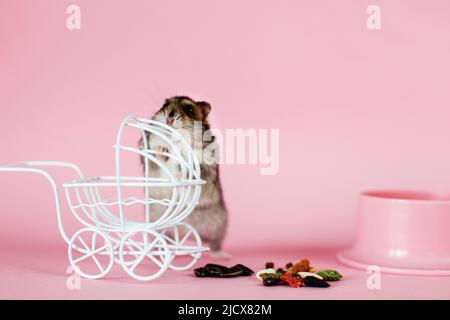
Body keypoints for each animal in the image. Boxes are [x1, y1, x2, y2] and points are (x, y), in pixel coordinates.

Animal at [141, 95, 229, 258]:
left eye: (189, 109)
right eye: (165, 105)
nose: (169, 117)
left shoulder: (205, 166)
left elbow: (189, 167)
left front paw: (180, 169)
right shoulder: (149, 162)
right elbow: (156, 157)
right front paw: (162, 150)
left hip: (220, 224)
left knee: (215, 243)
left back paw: (222, 255)